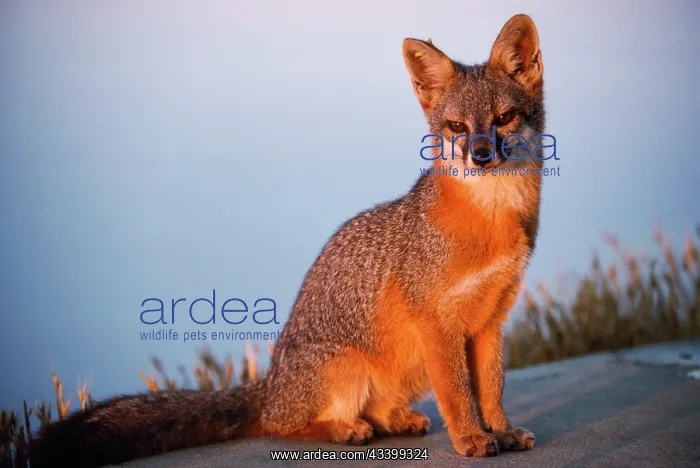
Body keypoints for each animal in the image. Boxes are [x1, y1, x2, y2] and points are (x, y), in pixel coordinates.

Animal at [31, 13, 546, 467]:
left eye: (503, 118)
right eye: (457, 127)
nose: (481, 156)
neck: (491, 222)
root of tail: (270, 385)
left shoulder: (490, 319)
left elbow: (492, 388)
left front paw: (500, 431)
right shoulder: (438, 324)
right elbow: (459, 394)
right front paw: (472, 439)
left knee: (369, 411)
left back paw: (394, 419)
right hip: (348, 368)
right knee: (284, 425)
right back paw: (343, 428)